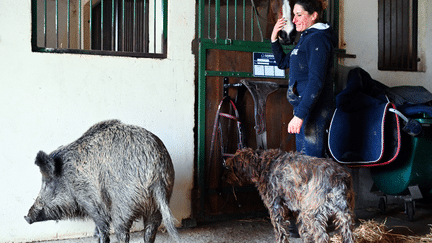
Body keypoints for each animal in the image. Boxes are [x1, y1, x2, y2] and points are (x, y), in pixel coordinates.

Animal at [223, 148, 354, 243]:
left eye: (231, 166)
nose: (224, 177)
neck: (263, 165)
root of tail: (339, 178)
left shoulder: (275, 207)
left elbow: (280, 230)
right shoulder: (298, 210)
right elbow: (304, 232)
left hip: (312, 215)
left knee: (322, 238)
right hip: (344, 216)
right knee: (348, 236)